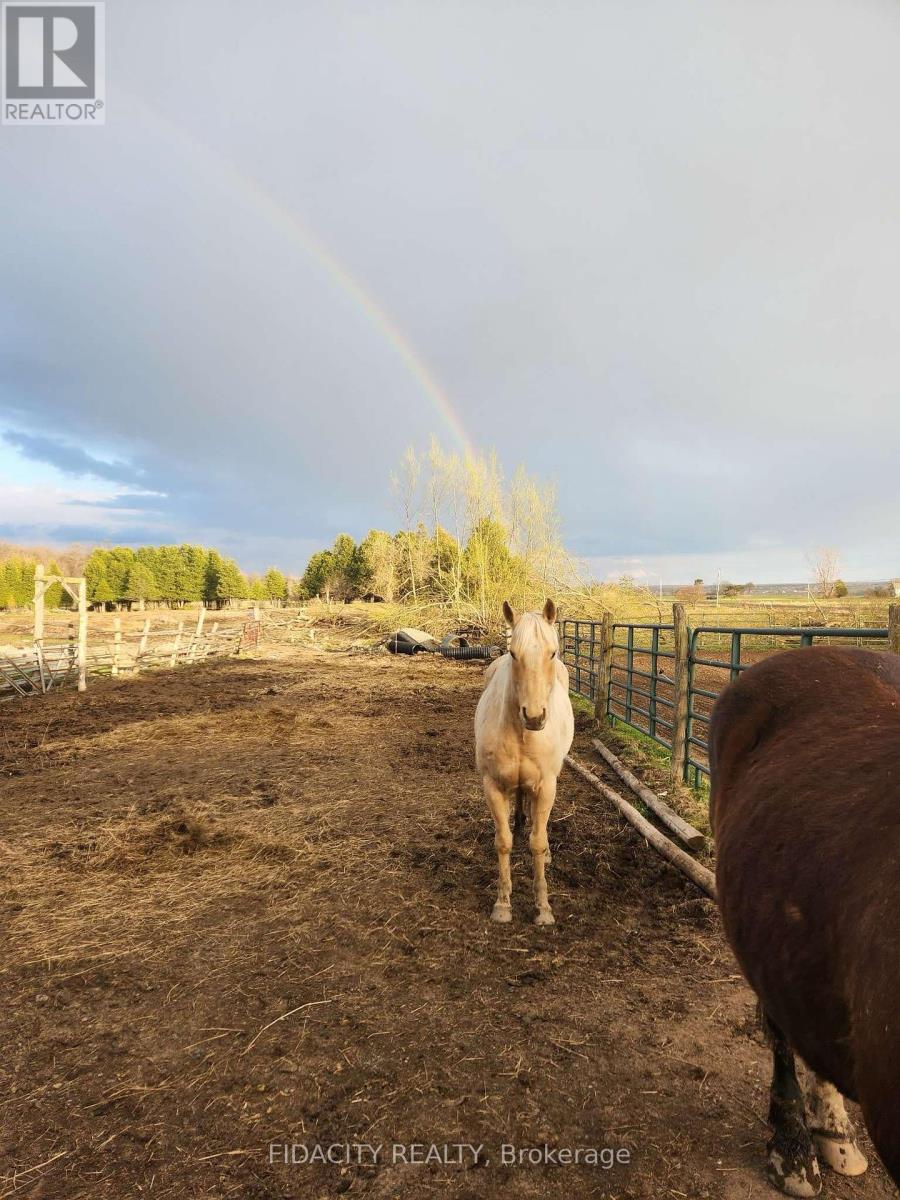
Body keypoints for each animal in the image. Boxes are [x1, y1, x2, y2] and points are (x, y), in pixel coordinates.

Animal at [475, 600, 573, 926]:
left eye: (552, 652)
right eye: (513, 653)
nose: (534, 716)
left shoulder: (546, 787)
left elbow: (537, 843)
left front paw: (543, 908)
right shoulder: (493, 786)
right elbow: (503, 842)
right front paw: (503, 904)